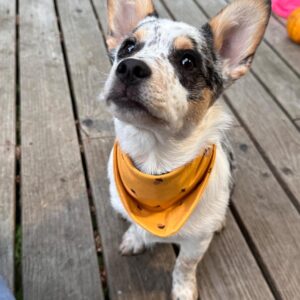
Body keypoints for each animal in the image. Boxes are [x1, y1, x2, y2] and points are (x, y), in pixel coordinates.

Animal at [102, 0, 270, 298]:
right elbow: (134, 224)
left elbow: (184, 266)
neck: (155, 163)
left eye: (188, 61)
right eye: (129, 47)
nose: (129, 67)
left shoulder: (196, 242)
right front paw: (135, 238)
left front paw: (183, 290)